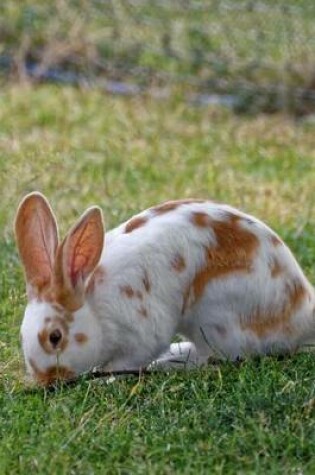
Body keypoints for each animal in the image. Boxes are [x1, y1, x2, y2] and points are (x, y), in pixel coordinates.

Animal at [15, 193, 315, 386]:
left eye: (55, 337)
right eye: (21, 334)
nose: (46, 381)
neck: (95, 308)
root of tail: (302, 315)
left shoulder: (141, 334)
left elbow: (129, 360)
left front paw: (106, 377)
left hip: (214, 317)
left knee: (217, 358)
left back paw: (169, 362)